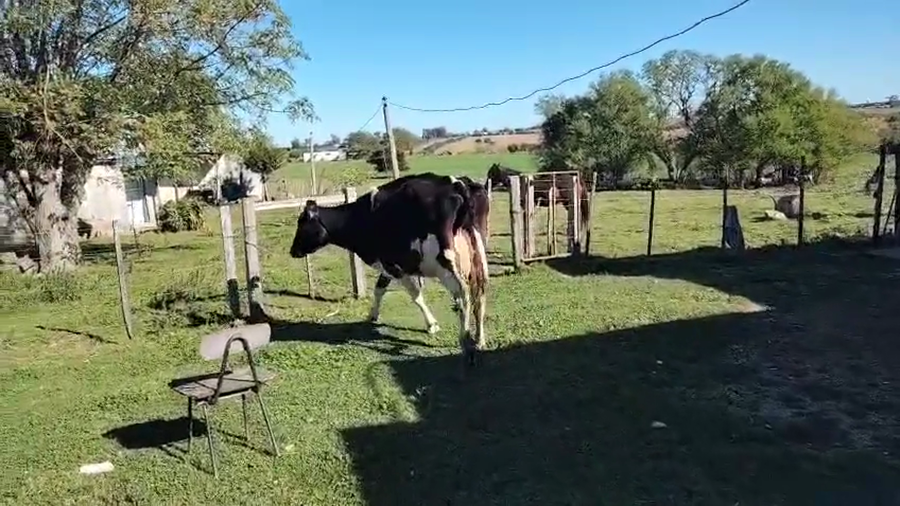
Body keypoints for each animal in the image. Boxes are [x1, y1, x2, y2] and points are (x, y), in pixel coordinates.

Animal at [289, 172, 490, 363]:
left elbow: (416, 296)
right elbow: (379, 290)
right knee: (480, 292)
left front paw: (432, 325)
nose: (292, 251)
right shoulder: (387, 265)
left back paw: (466, 343)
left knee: (463, 295)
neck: (361, 218)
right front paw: (372, 315)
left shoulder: (395, 266)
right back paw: (479, 339)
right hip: (478, 253)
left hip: (445, 263)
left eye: (302, 224)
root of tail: (456, 184)